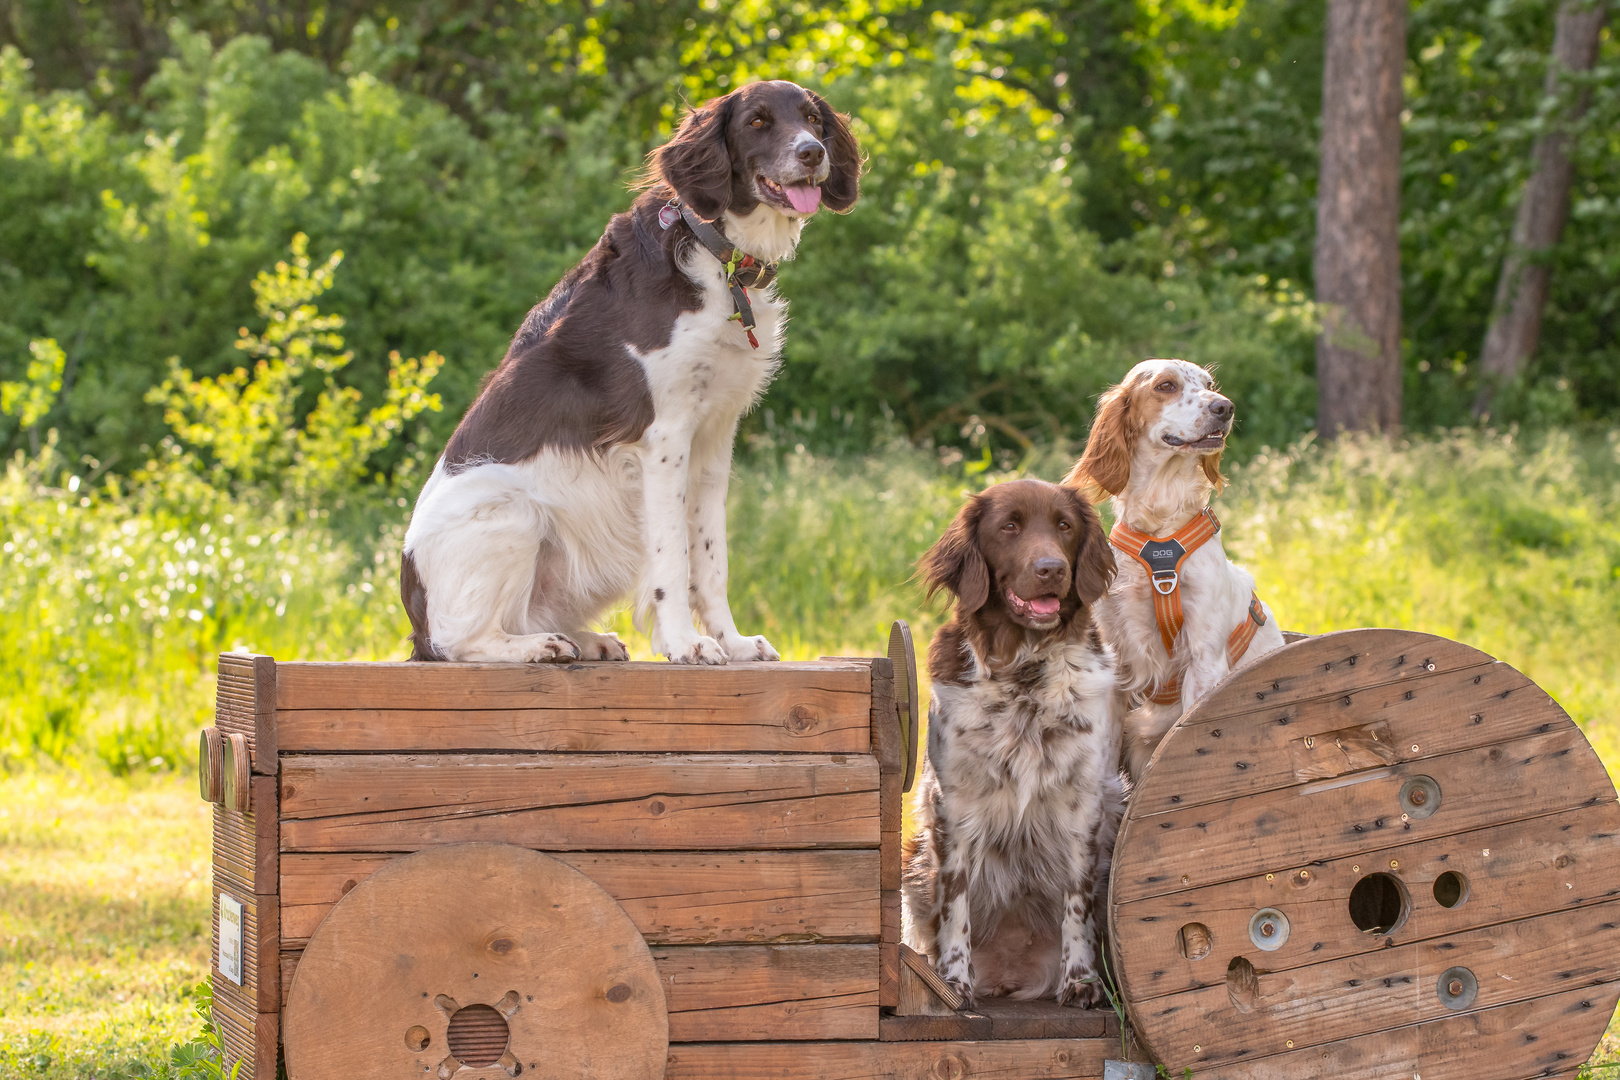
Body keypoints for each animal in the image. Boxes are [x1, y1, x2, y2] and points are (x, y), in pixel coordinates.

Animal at [396, 80, 861, 663]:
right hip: (512, 511)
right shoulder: (663, 440)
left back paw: (584, 640)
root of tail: (415, 616)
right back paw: (536, 647)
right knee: (459, 641)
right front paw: (685, 644)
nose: (813, 153)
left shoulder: (714, 442)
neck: (718, 257)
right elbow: (672, 558)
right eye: (757, 122)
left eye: (812, 119)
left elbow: (711, 559)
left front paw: (731, 642)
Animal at [900, 476, 1127, 1010]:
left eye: (1064, 526)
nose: (1052, 569)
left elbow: (1077, 901)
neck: (1025, 674)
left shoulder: (1085, 803)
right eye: (1009, 527)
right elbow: (955, 903)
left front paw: (1080, 981)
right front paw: (954, 981)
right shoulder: (952, 804)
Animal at [1069, 359, 1283, 780]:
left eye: (1210, 383)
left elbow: (1190, 736)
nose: (1224, 407)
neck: (1160, 537)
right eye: (1166, 386)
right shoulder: (1116, 659)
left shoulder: (1204, 656)